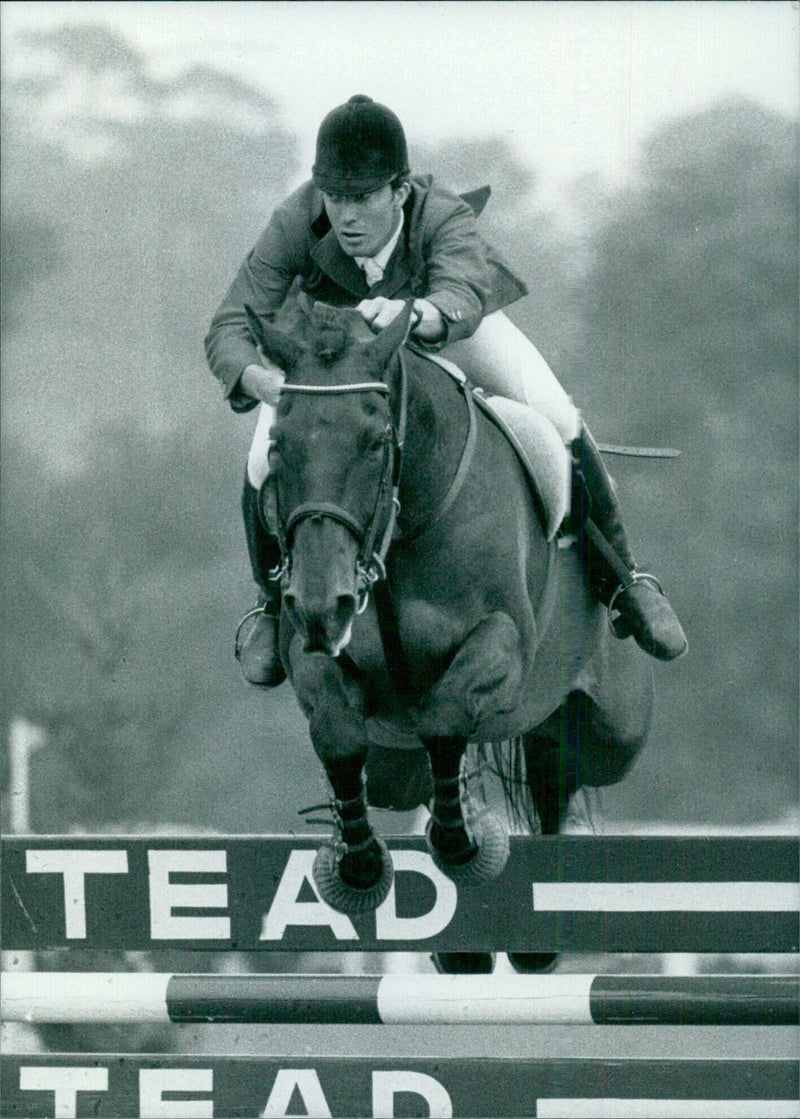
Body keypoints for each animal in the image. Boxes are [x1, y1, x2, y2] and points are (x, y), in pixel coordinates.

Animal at [246, 293, 657, 931]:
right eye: (277, 446)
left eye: (375, 441)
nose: (320, 602)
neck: (398, 534)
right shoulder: (312, 654)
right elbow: (338, 734)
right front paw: (359, 860)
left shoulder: (503, 642)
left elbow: (443, 717)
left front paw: (461, 841)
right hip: (399, 764)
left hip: (613, 730)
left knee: (565, 775)